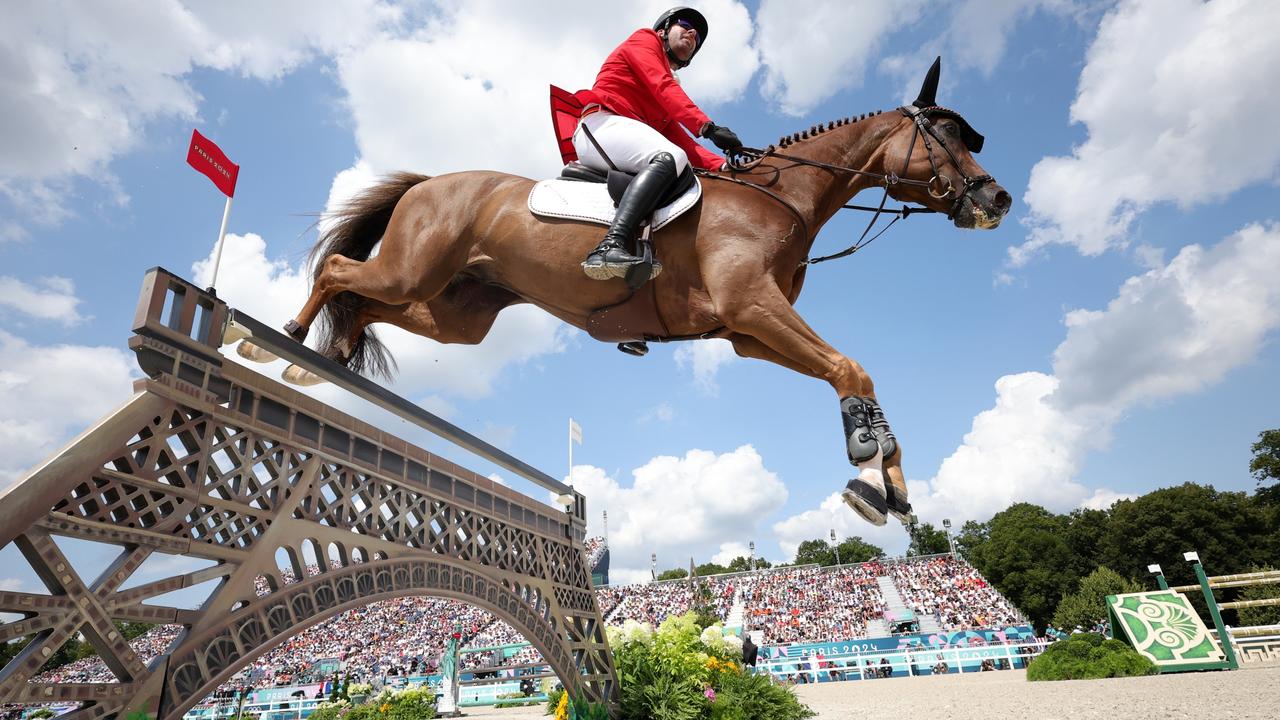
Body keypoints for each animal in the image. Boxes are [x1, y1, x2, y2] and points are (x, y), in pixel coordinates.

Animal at [252, 57, 1008, 527]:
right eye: (945, 136)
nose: (996, 197)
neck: (781, 198)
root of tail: (430, 181)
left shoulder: (747, 332)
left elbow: (853, 371)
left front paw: (890, 487)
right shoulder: (752, 307)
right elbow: (850, 368)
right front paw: (867, 467)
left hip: (456, 315)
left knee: (369, 304)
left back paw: (321, 361)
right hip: (414, 270)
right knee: (337, 272)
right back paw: (283, 341)